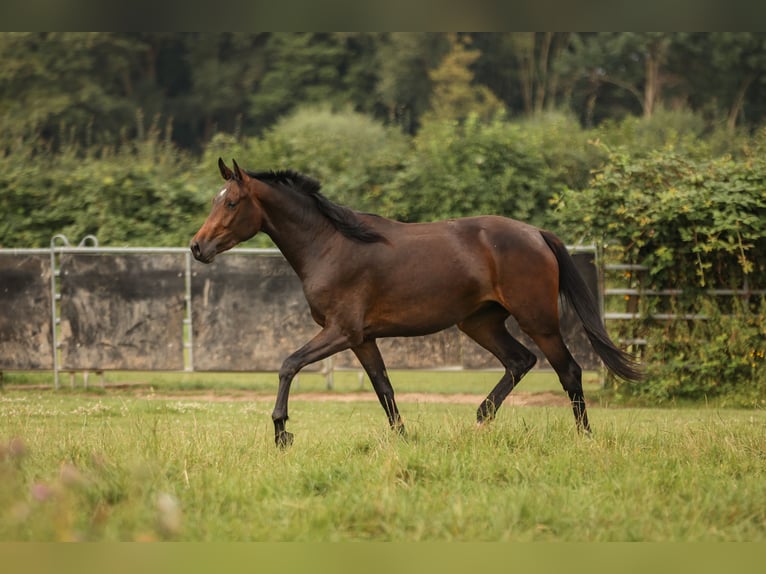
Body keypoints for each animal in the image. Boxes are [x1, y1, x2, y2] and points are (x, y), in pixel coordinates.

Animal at [190, 159, 640, 450]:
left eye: (231, 203)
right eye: (214, 201)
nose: (197, 247)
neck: (330, 245)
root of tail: (537, 234)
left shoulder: (340, 331)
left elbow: (288, 364)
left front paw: (282, 432)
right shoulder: (361, 339)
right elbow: (383, 387)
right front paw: (404, 438)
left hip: (538, 320)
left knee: (569, 371)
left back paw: (584, 439)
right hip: (479, 323)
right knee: (519, 362)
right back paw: (480, 419)